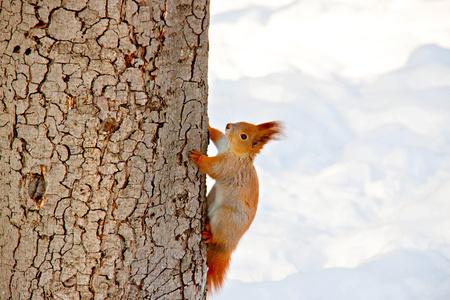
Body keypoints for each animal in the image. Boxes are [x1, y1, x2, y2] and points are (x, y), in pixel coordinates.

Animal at [191, 120, 284, 292]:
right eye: (242, 122)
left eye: (243, 137)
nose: (228, 125)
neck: (233, 150)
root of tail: (228, 248)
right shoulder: (223, 142)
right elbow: (217, 135)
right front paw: (208, 123)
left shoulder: (229, 167)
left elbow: (214, 169)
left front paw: (199, 157)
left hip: (225, 218)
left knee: (217, 238)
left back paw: (210, 235)